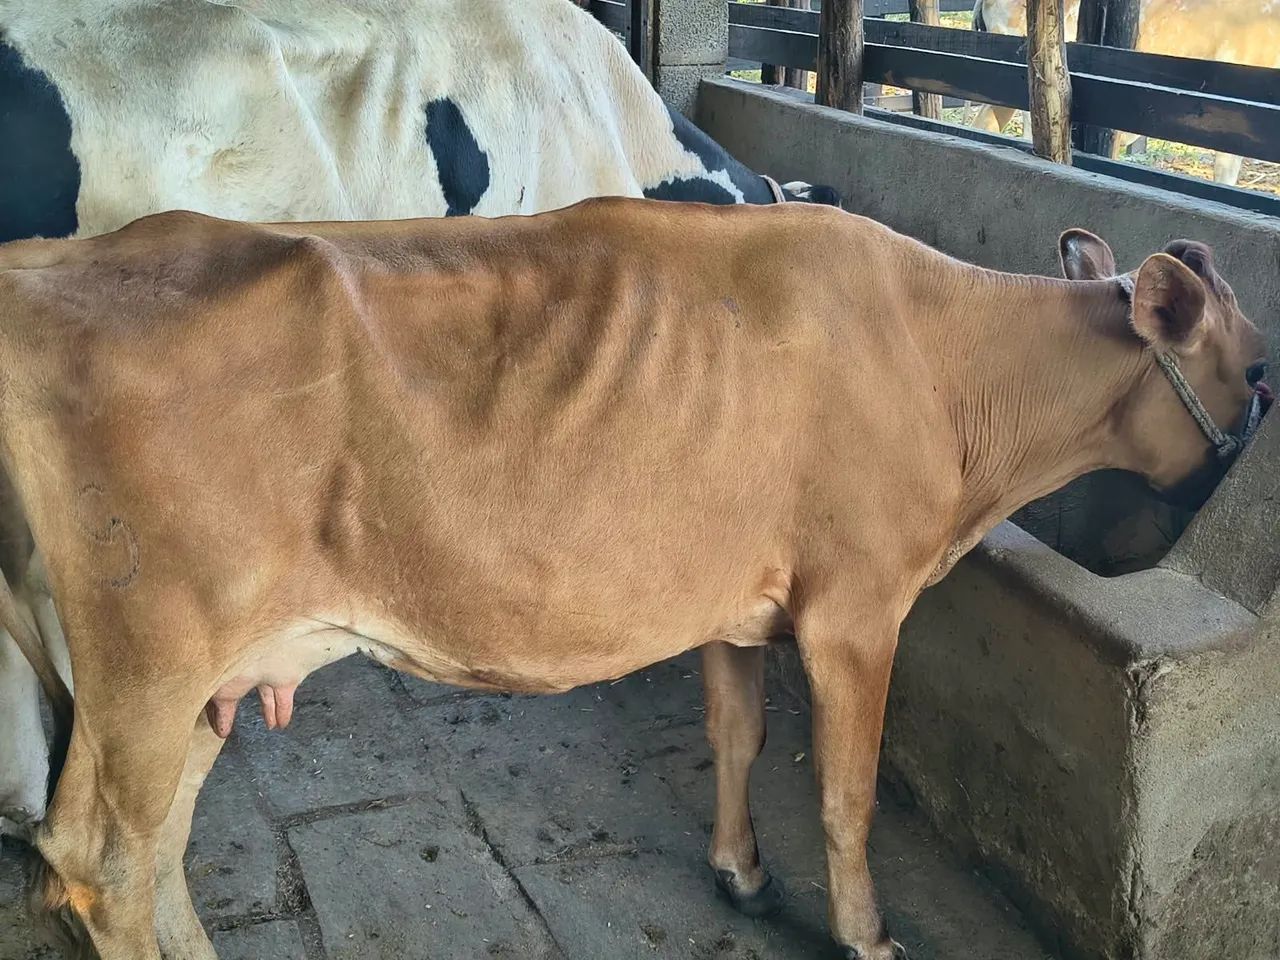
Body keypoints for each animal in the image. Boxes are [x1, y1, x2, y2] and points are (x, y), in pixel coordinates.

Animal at [1, 197, 1268, 960]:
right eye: (1257, 374)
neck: (948, 364)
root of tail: (47, 264)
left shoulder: (732, 599)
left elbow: (735, 737)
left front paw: (740, 875)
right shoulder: (857, 604)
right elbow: (845, 793)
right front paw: (864, 933)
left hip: (199, 668)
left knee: (138, 841)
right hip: (153, 654)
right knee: (105, 856)